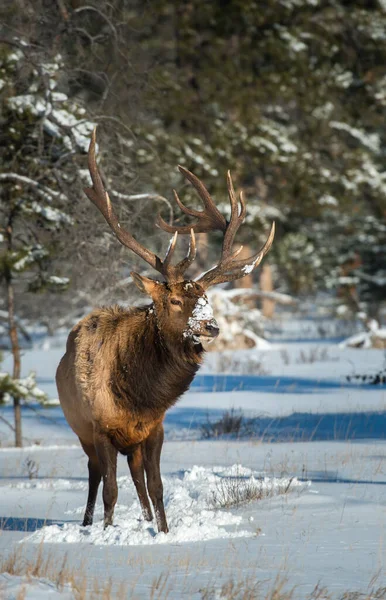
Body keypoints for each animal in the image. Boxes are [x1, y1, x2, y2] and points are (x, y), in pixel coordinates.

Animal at [57, 129, 274, 532]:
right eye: (174, 300)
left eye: (204, 297)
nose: (211, 325)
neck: (138, 396)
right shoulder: (100, 428)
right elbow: (110, 489)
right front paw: (106, 532)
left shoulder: (155, 428)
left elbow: (156, 486)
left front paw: (162, 531)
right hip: (81, 431)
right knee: (95, 475)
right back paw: (87, 523)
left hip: (131, 444)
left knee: (137, 476)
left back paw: (141, 519)